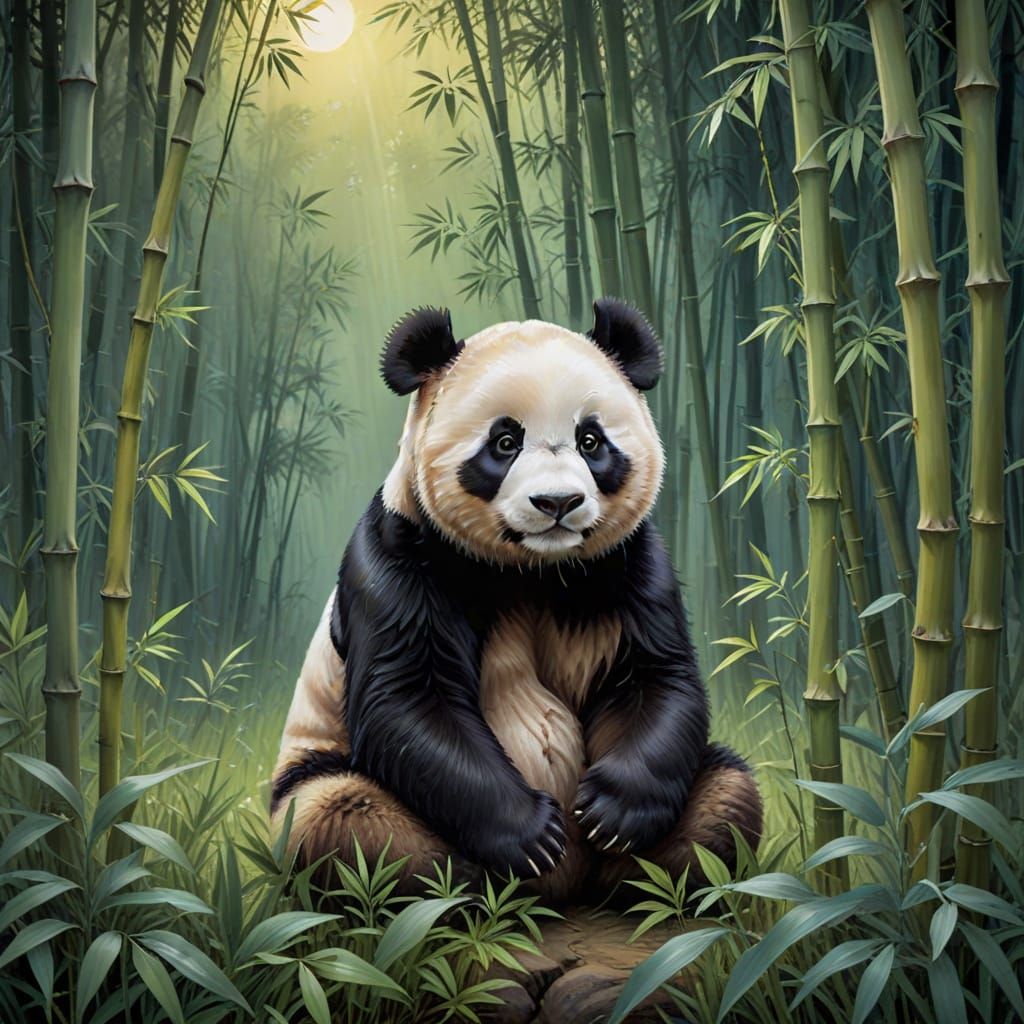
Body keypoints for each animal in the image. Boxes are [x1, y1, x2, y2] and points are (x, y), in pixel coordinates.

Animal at [270, 298, 762, 901]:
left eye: (590, 441)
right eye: (505, 443)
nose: (558, 502)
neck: (532, 568)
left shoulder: (630, 565)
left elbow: (653, 676)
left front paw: (611, 815)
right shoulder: (399, 556)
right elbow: (411, 698)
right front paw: (532, 834)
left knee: (727, 796)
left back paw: (652, 884)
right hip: (315, 774)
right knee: (342, 819)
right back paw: (457, 887)